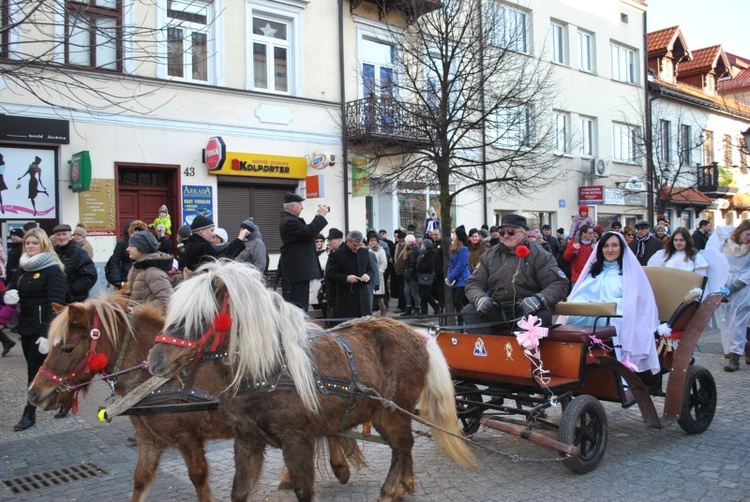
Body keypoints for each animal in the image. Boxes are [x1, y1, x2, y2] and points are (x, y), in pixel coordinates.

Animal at [30, 294, 366, 502]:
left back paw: (336, 467)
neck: (155, 379)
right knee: (330, 428)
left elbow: (198, 478)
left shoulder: (187, 438)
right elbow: (139, 482)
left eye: (68, 348)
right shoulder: (150, 442)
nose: (35, 392)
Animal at [148, 258, 476, 502]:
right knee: (403, 447)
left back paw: (390, 490)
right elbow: (239, 492)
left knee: (402, 445)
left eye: (201, 317)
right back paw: (404, 485)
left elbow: (304, 490)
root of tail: (417, 334)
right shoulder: (247, 442)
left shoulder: (298, 441)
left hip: (391, 410)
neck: (267, 371)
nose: (156, 359)